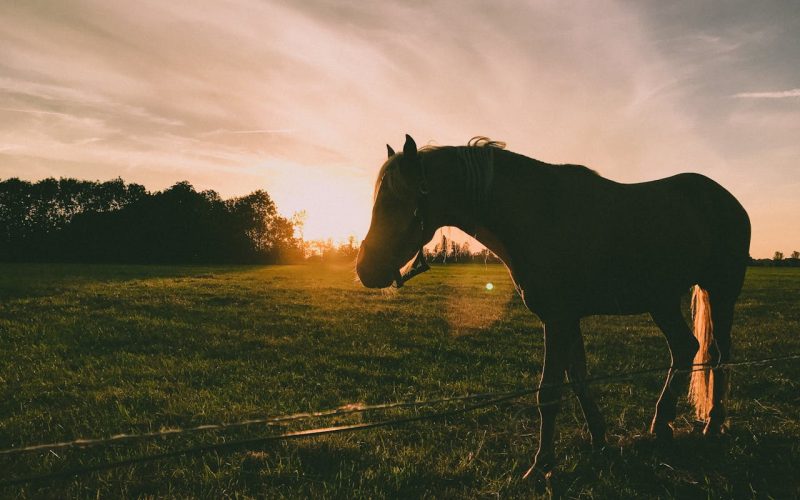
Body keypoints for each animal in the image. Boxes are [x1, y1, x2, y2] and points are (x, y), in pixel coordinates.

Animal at [356, 134, 751, 478]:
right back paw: (662, 425)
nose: (365, 269)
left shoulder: (557, 319)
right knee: (685, 348)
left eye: (395, 201)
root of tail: (727, 200)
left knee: (718, 355)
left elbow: (548, 393)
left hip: (720, 292)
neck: (538, 214)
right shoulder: (567, 319)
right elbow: (577, 379)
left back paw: (713, 423)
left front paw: (542, 465)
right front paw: (599, 438)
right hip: (662, 300)